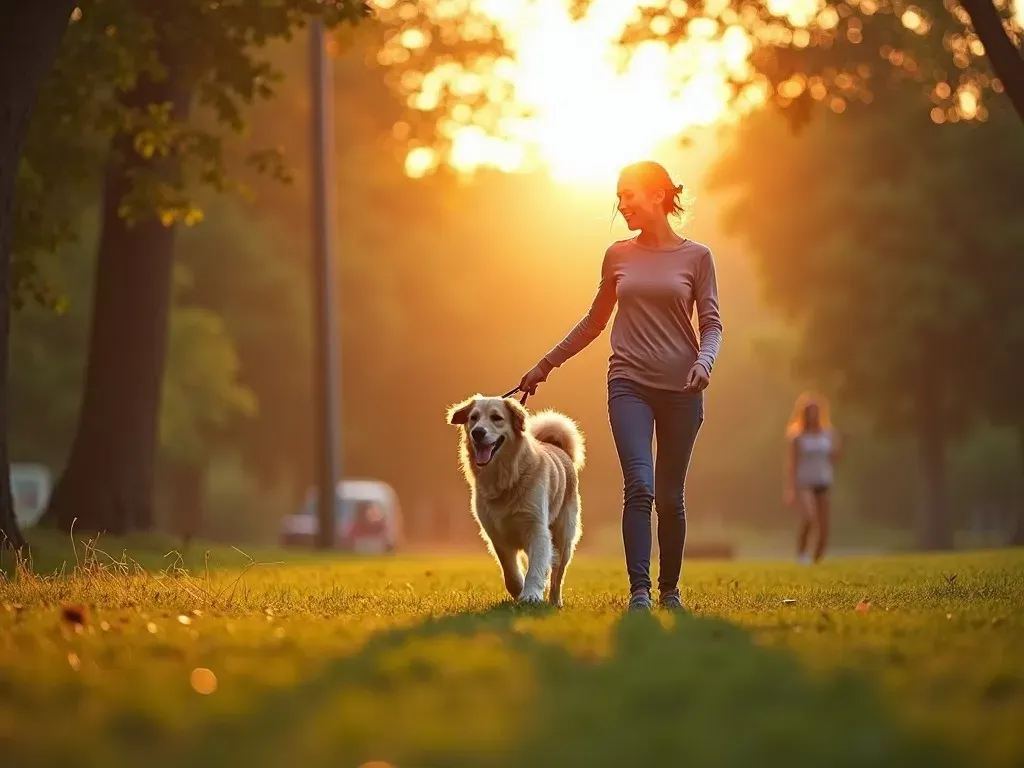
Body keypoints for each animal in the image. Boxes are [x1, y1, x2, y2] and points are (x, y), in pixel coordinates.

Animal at [446, 397, 585, 606]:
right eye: (473, 418)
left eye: (496, 417)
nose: (477, 432)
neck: (507, 477)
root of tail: (559, 448)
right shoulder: (497, 536)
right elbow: (510, 573)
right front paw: (520, 592)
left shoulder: (537, 529)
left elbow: (536, 568)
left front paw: (531, 595)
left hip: (564, 536)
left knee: (557, 575)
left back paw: (555, 601)